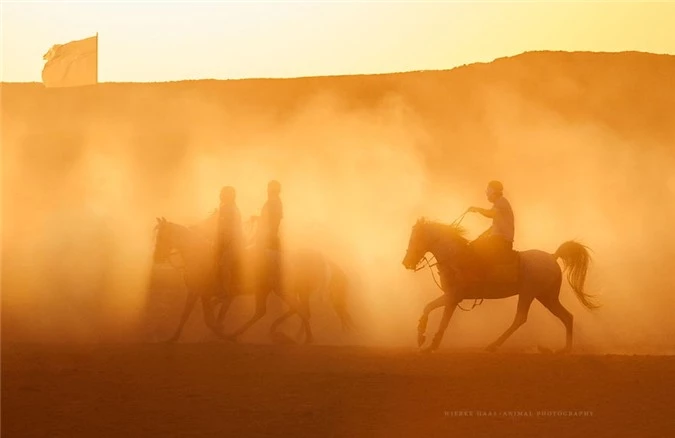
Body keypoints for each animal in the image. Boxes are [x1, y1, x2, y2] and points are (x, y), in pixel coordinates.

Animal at [402, 217, 596, 354]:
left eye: (415, 239)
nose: (406, 262)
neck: (455, 257)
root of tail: (553, 256)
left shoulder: (453, 297)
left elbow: (439, 317)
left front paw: (427, 342)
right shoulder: (452, 297)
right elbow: (430, 309)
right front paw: (424, 340)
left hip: (528, 293)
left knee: (520, 318)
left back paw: (493, 345)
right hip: (546, 297)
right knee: (567, 317)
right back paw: (565, 349)